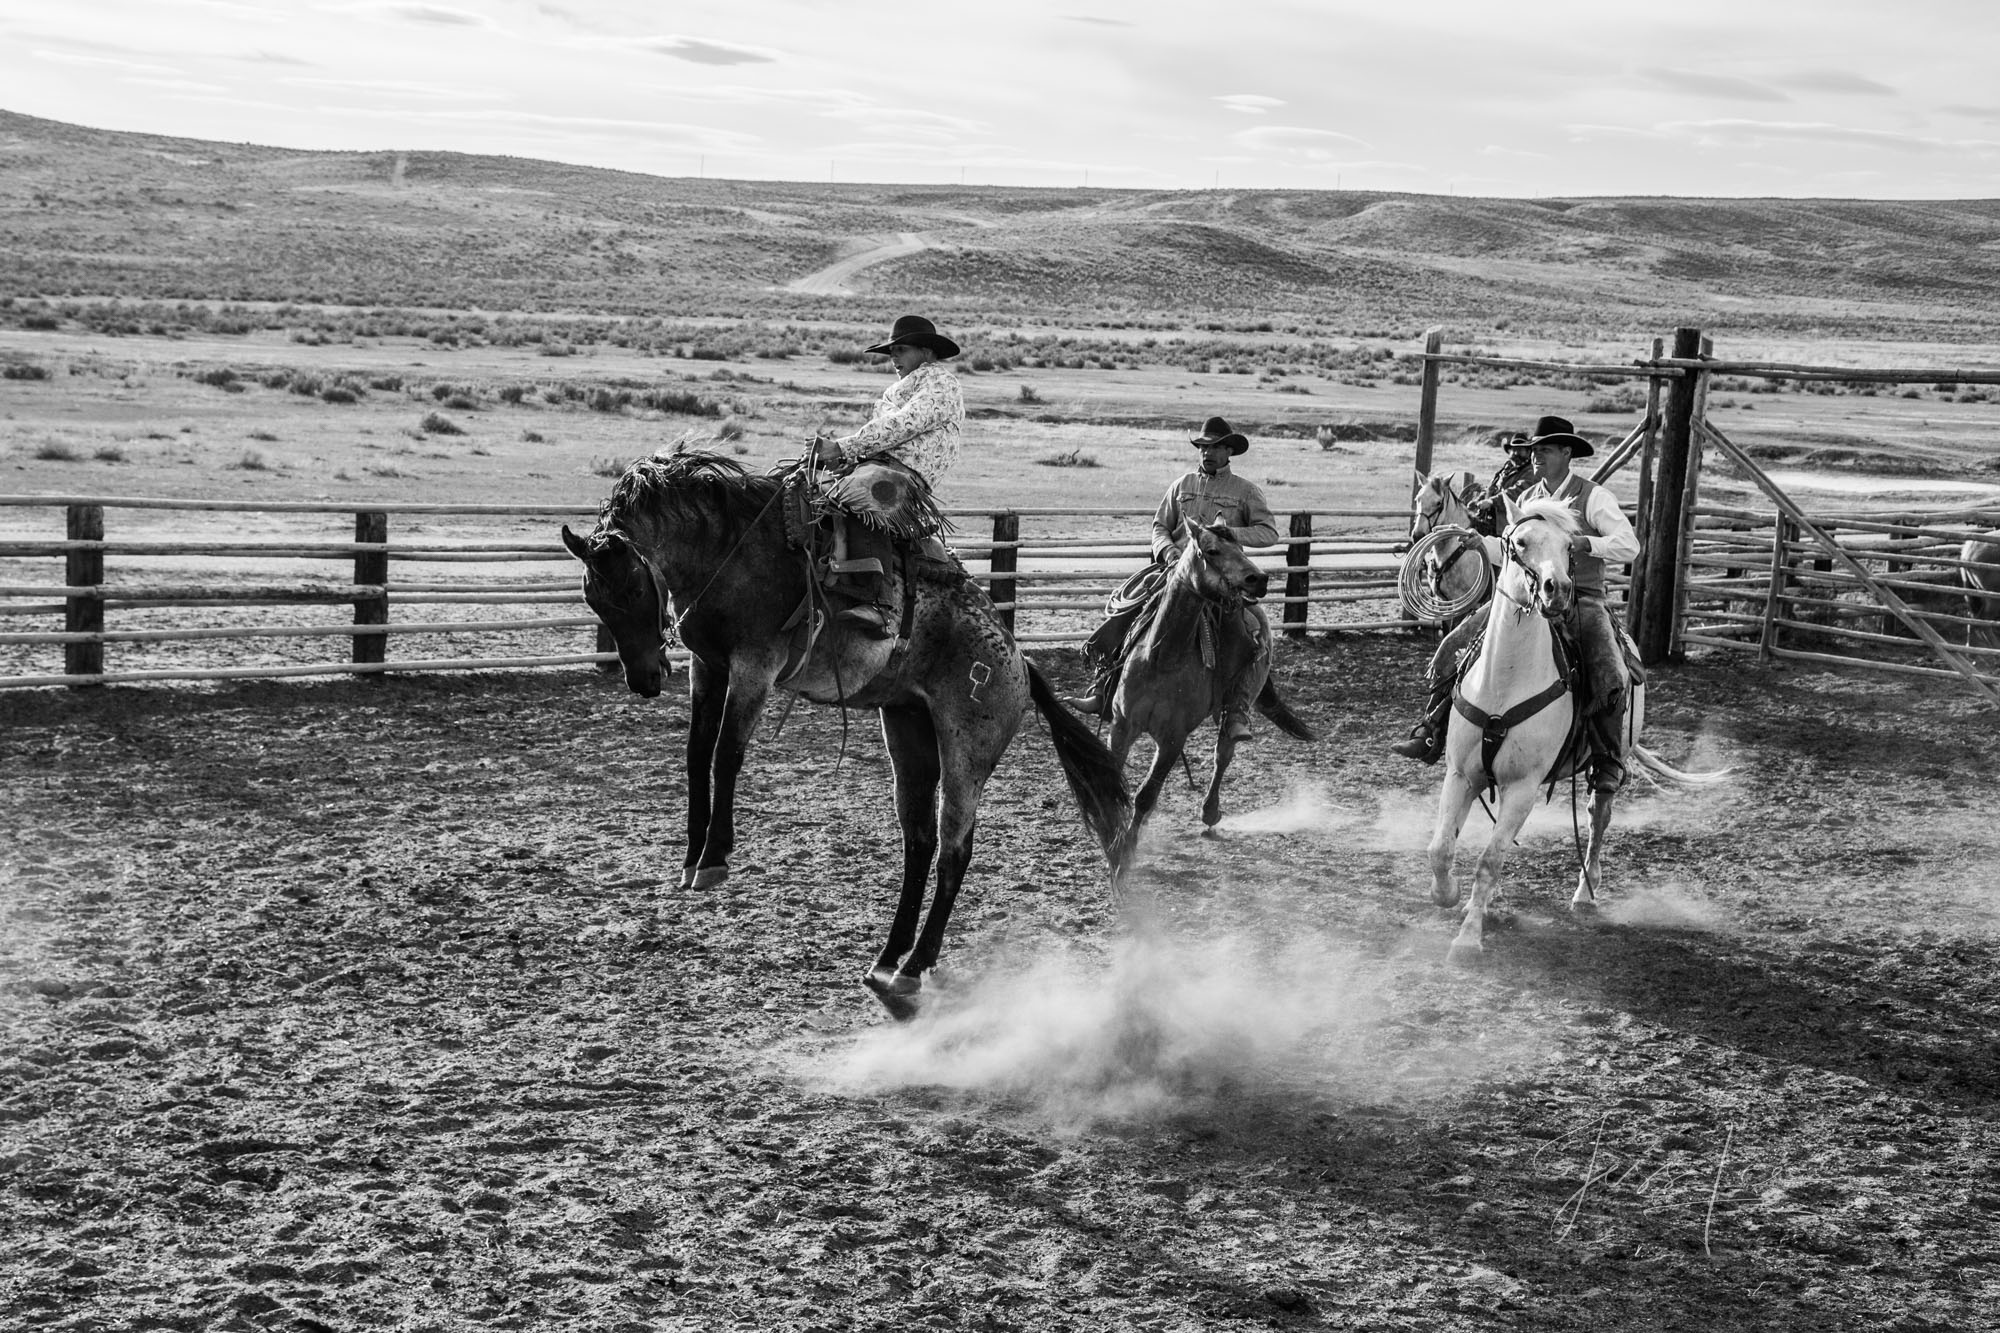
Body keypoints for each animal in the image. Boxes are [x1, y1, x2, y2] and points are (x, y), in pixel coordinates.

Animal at [564, 448, 1136, 1016]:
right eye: (593, 598)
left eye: (633, 586)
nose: (643, 679)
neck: (730, 551)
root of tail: (1018, 660)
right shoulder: (707, 668)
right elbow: (695, 755)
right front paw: (690, 857)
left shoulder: (754, 667)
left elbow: (726, 753)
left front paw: (714, 859)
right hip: (908, 737)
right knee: (919, 843)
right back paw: (888, 957)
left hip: (966, 757)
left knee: (953, 852)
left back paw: (913, 966)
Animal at [1432, 492, 1728, 960]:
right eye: (1519, 543)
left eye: (1571, 548)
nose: (1558, 590)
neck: (1505, 680)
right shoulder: (1461, 774)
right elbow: (1442, 848)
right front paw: (1447, 894)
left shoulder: (1522, 787)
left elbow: (1490, 860)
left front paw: (1467, 938)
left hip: (1609, 761)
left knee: (1597, 819)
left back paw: (1585, 894)